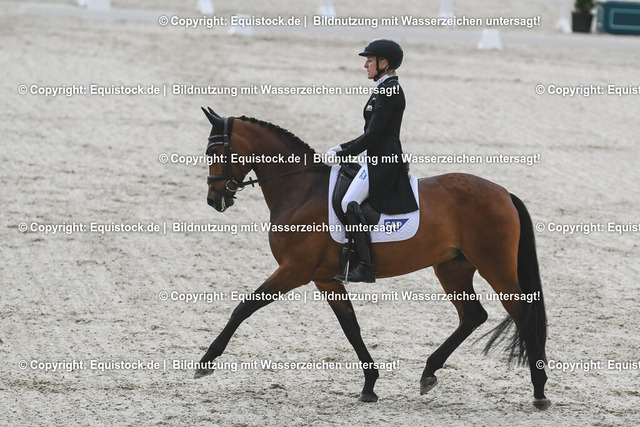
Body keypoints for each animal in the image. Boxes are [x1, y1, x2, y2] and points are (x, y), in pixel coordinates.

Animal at [195, 107, 550, 410]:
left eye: (214, 153)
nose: (213, 199)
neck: (301, 190)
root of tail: (504, 193)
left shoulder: (294, 270)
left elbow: (244, 308)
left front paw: (205, 362)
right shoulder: (324, 279)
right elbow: (351, 328)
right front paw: (369, 385)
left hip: (495, 265)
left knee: (522, 312)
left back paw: (539, 390)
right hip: (452, 268)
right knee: (473, 316)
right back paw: (428, 373)